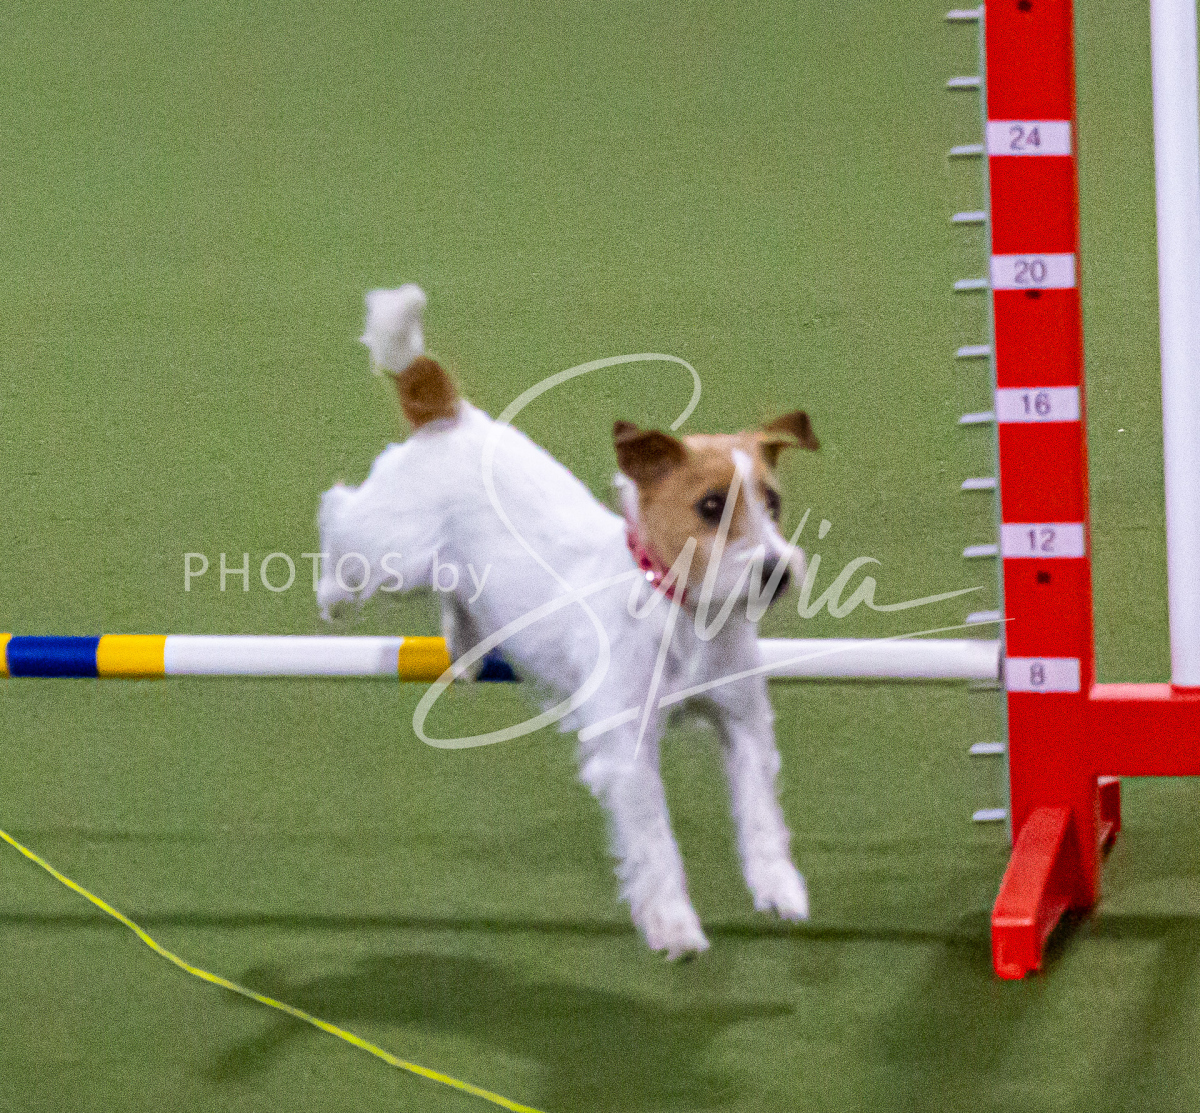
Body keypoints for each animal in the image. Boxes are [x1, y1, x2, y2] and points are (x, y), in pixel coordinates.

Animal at [317, 285, 820, 958]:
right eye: (711, 506)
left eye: (773, 502)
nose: (776, 570)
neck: (676, 609)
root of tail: (453, 414)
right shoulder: (628, 752)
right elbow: (655, 844)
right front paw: (674, 925)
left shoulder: (743, 723)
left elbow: (762, 814)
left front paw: (779, 888)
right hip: (389, 553)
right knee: (339, 515)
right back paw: (331, 593)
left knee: (456, 596)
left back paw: (467, 646)